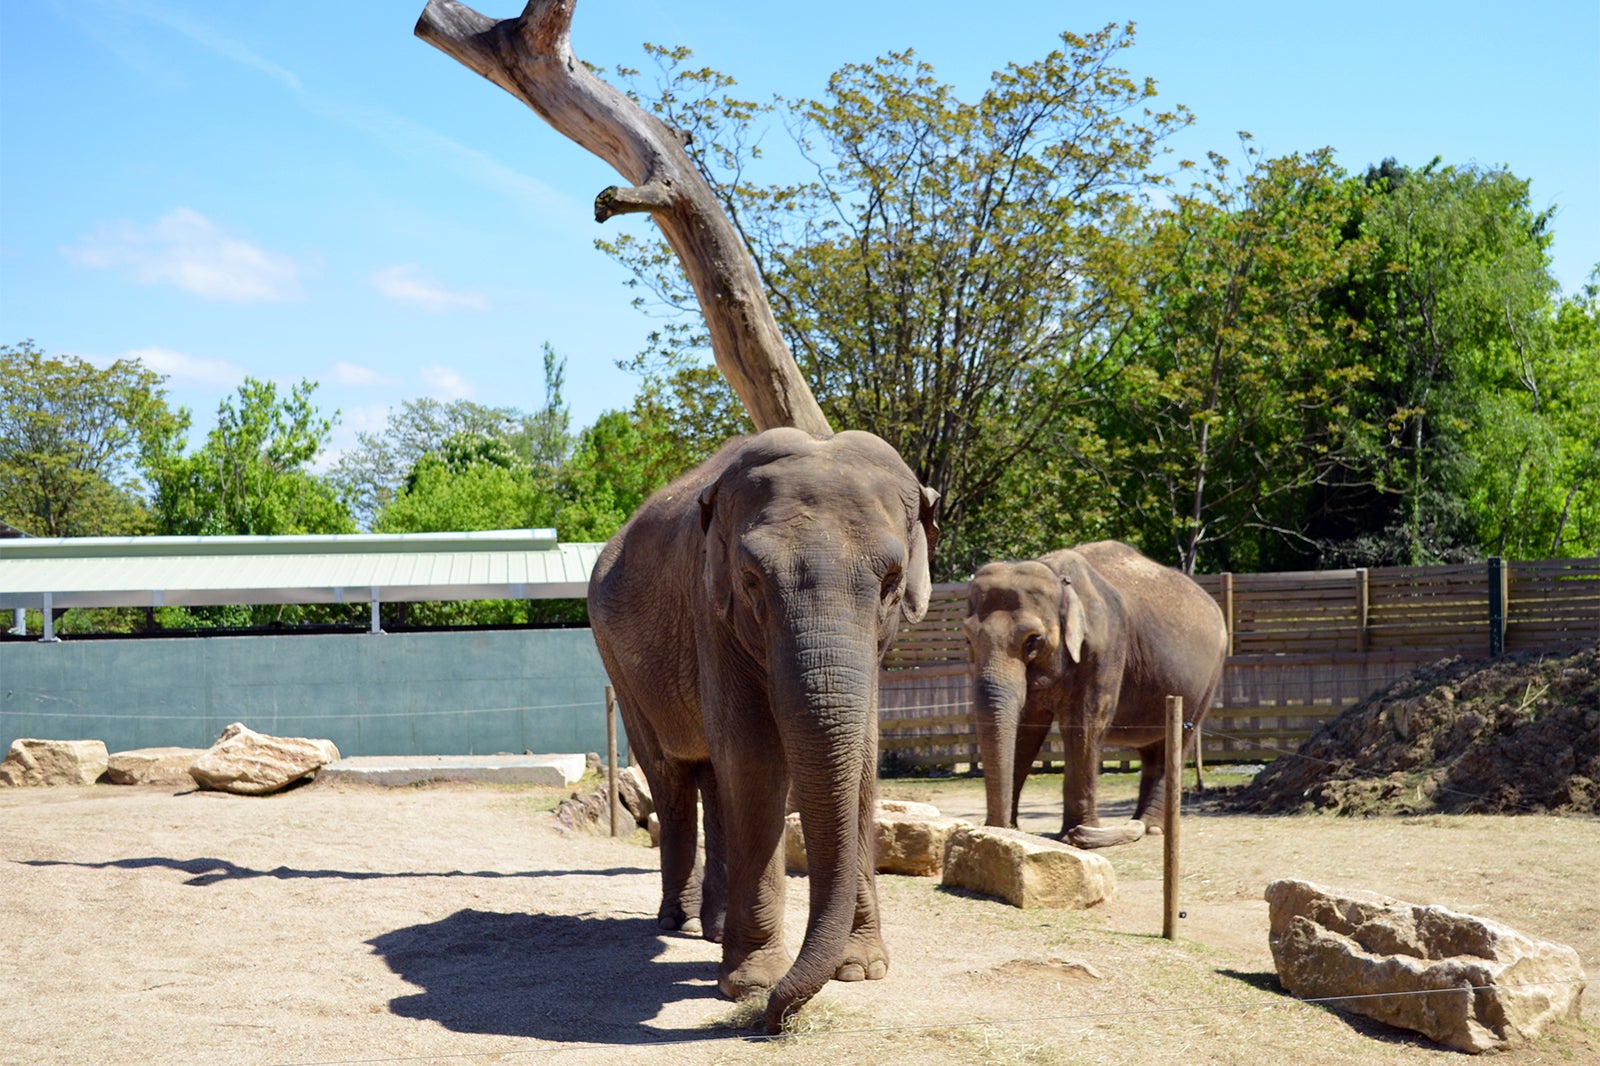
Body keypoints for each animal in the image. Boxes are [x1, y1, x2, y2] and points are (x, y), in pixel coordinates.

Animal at [588, 422, 934, 1030]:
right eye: (751, 580)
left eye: (891, 582)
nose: (774, 1021)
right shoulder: (712, 608)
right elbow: (754, 754)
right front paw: (751, 984)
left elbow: (863, 755)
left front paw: (861, 970)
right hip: (619, 663)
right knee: (671, 776)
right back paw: (677, 923)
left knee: (711, 778)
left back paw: (712, 931)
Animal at [960, 541, 1222, 845]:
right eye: (968, 639)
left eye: (1033, 641)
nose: (996, 826)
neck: (1057, 576)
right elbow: (1027, 729)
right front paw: (1010, 831)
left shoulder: (1105, 648)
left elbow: (1084, 725)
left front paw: (1074, 835)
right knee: (1153, 749)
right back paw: (1138, 824)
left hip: (1207, 683)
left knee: (1177, 740)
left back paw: (1151, 828)